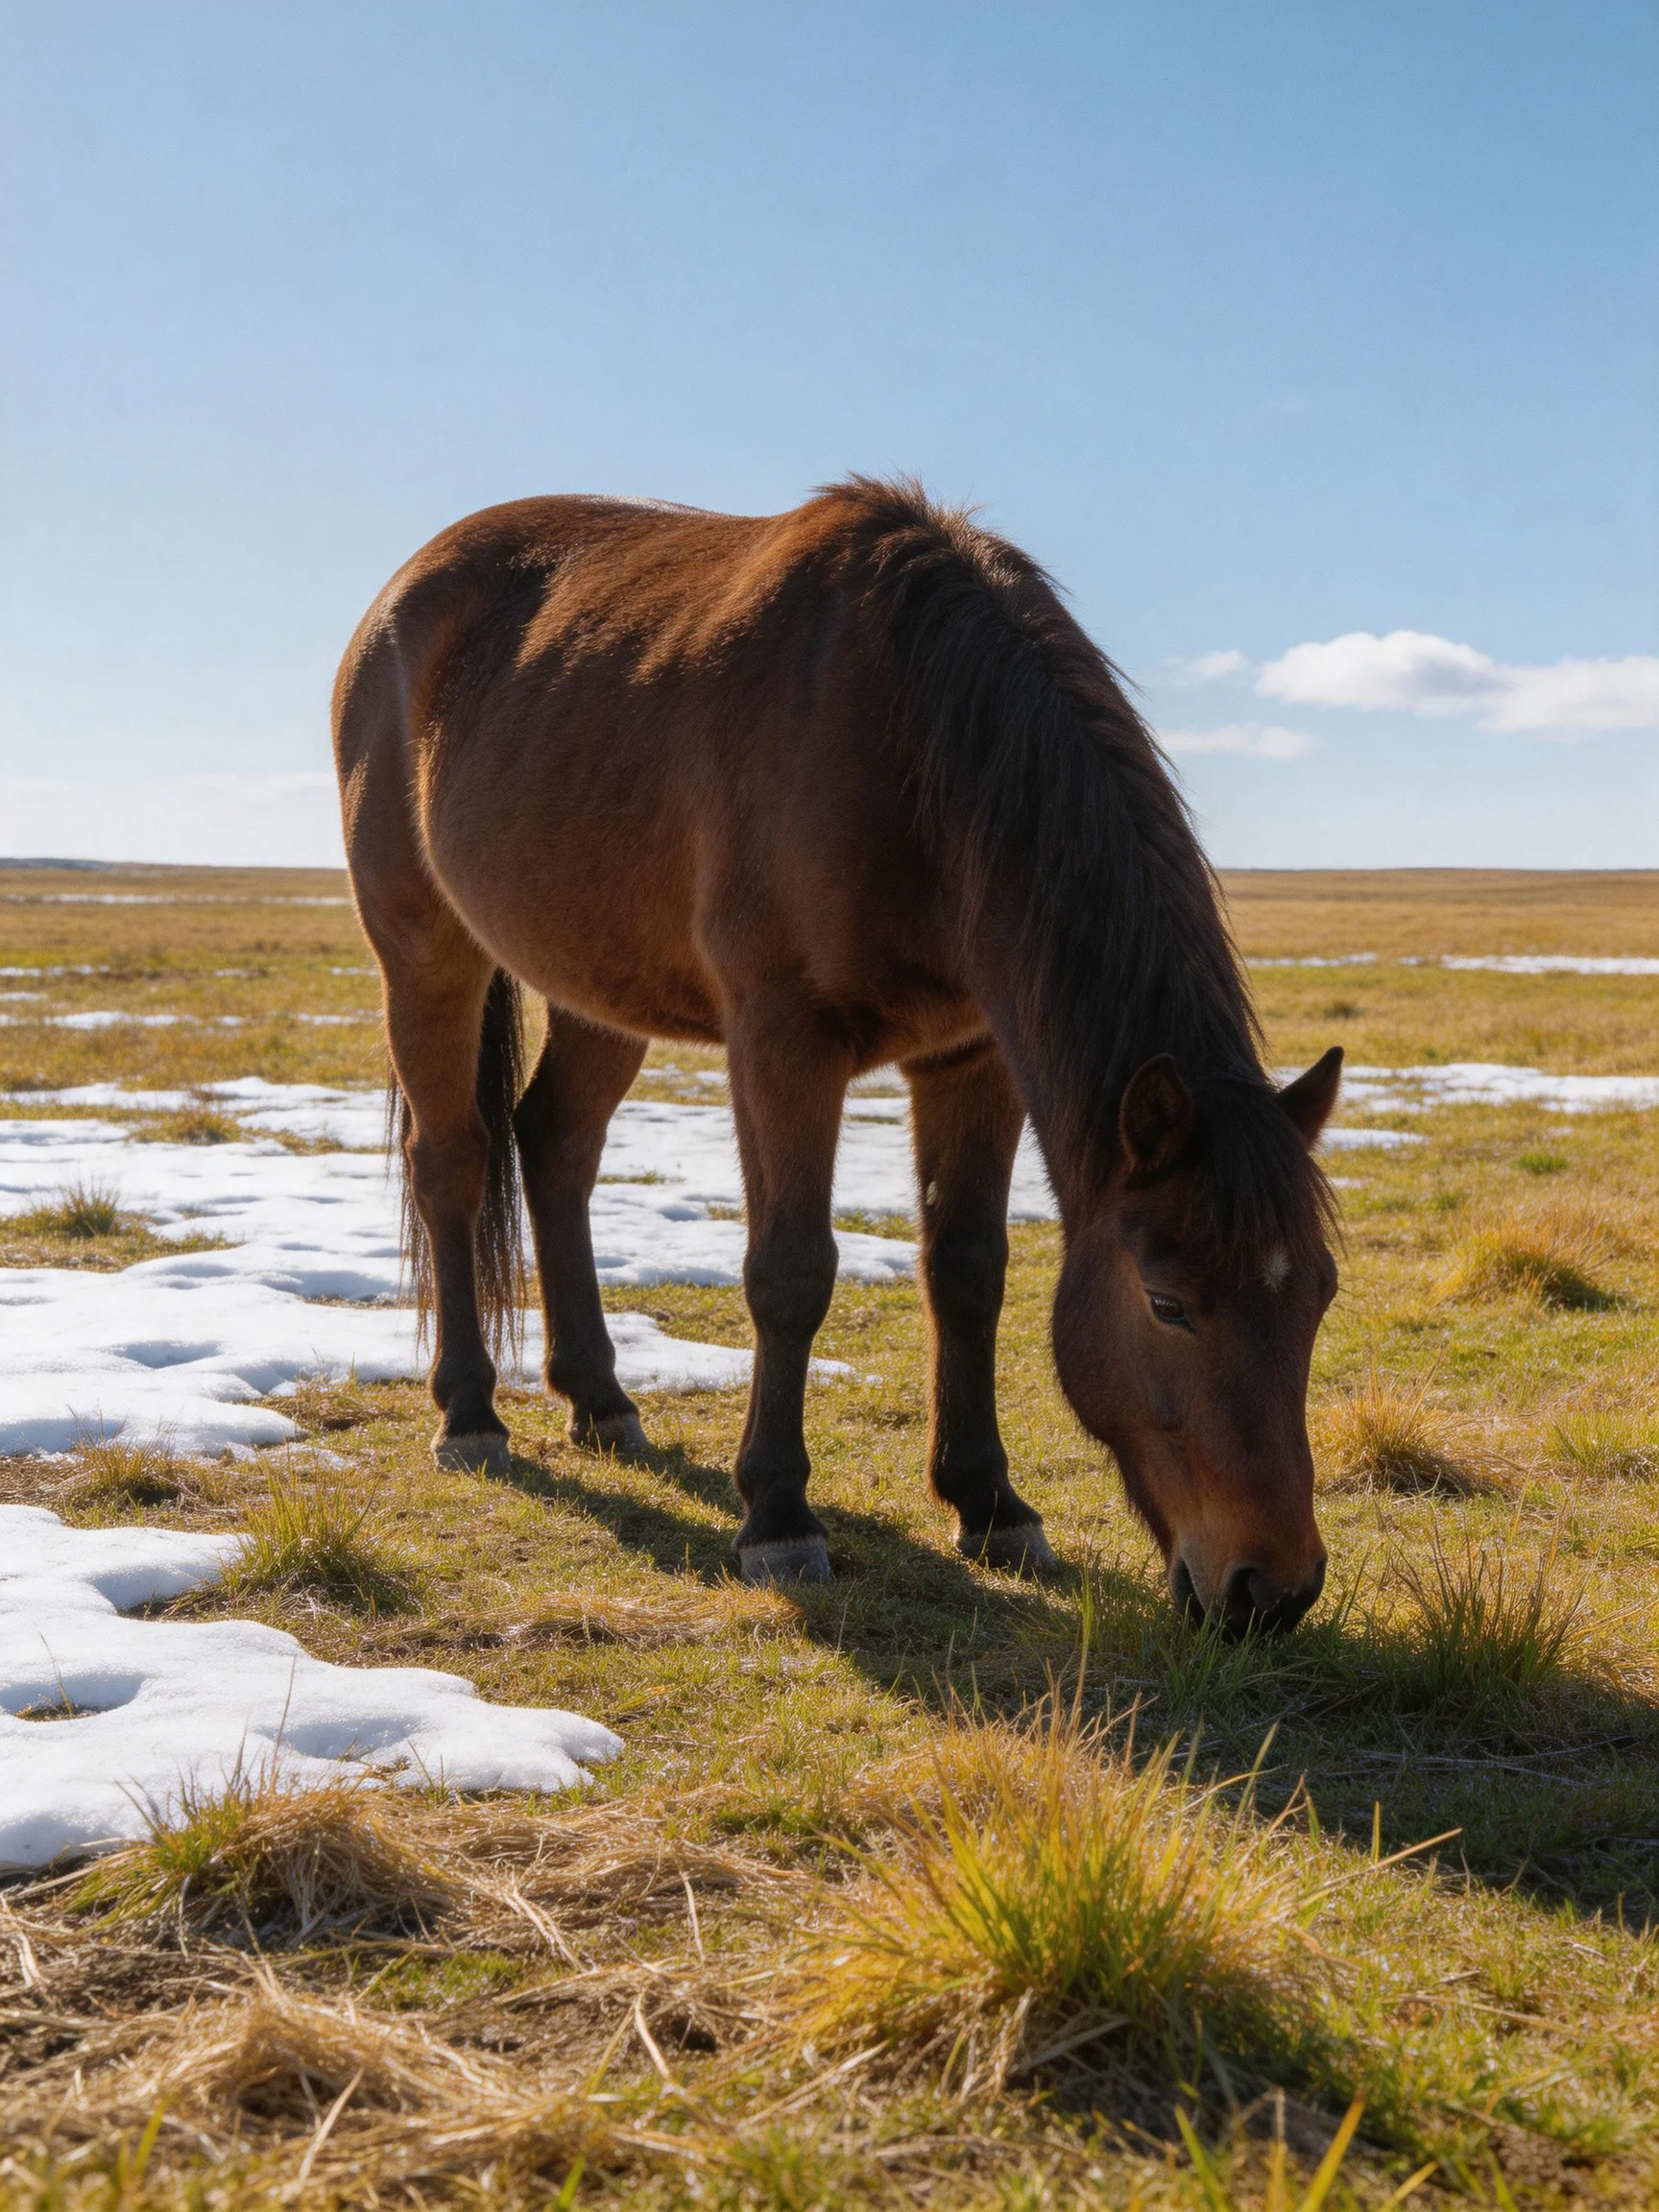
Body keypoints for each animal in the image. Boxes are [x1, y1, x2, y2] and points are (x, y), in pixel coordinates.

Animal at [333, 478, 1343, 1633]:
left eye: (1319, 1295)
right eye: (1170, 1304)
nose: (1273, 1589)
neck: (914, 741)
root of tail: (405, 593)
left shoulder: (971, 1057)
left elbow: (968, 1270)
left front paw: (990, 1503)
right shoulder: (783, 1043)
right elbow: (790, 1273)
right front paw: (777, 1516)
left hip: (599, 981)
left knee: (554, 1145)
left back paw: (601, 1399)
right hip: (424, 950)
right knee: (452, 1161)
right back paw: (469, 1414)